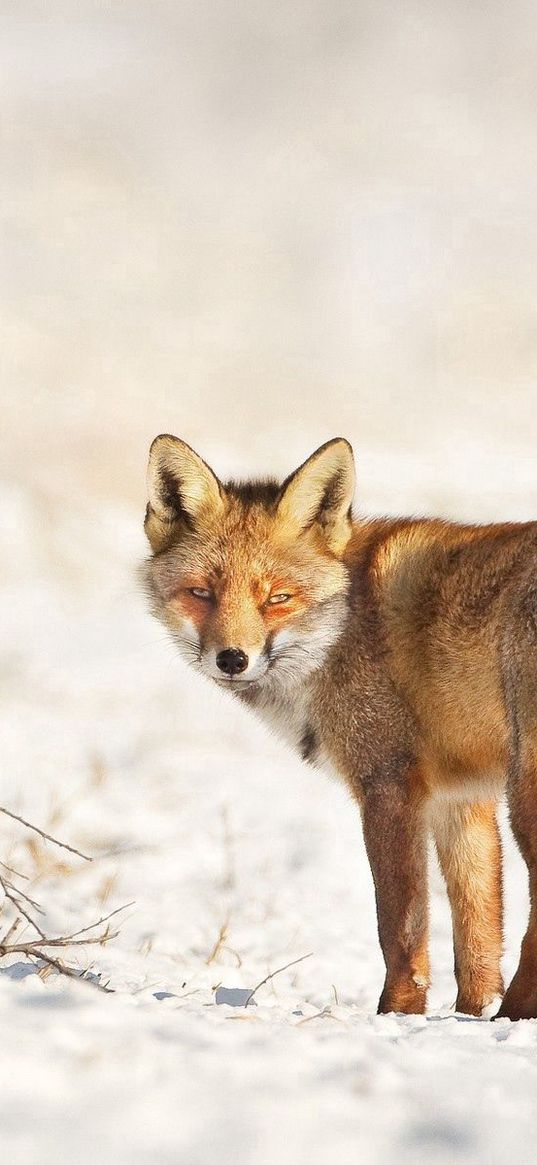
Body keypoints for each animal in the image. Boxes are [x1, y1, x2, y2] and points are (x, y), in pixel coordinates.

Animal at [142, 435, 537, 1020]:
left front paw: (398, 1014)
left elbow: (400, 927)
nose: (232, 659)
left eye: (277, 597)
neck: (345, 624)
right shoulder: (462, 800)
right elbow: (477, 931)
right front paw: (473, 1016)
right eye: (202, 593)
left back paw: (519, 1010)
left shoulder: (388, 783)